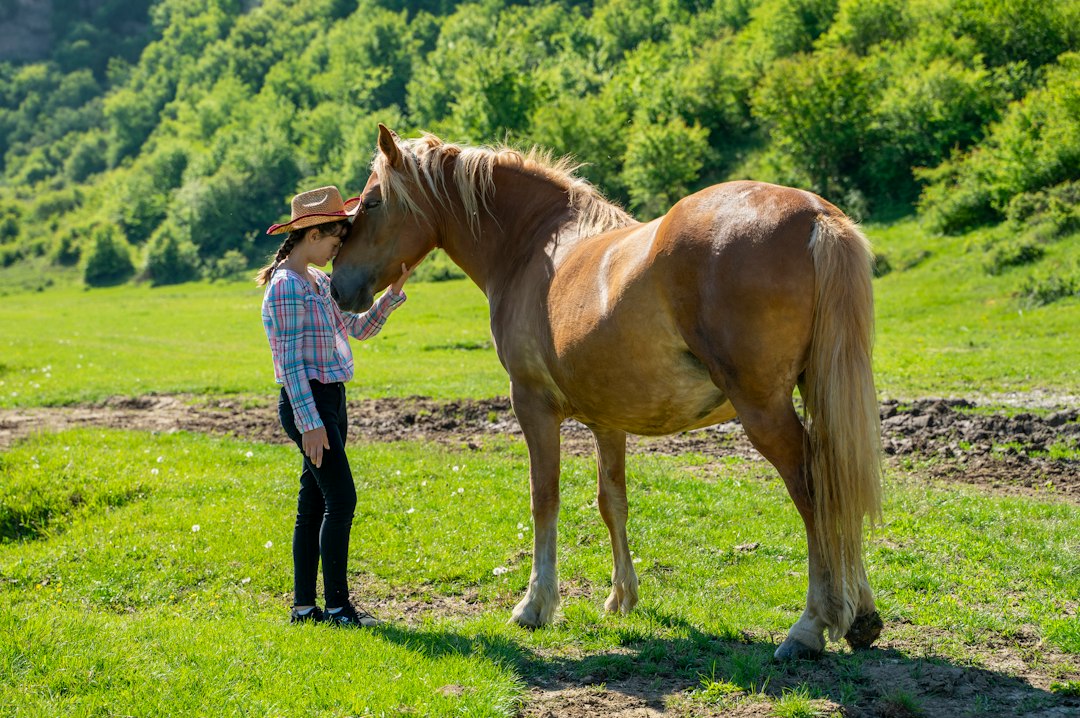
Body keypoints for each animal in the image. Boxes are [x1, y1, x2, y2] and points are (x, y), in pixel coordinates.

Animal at [331, 124, 884, 660]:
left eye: (372, 201)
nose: (337, 287)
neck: (531, 246)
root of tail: (814, 214)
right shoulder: (608, 421)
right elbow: (611, 501)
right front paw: (622, 597)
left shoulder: (532, 405)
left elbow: (544, 497)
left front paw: (536, 604)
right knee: (839, 479)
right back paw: (861, 616)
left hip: (764, 411)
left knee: (815, 491)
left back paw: (810, 626)